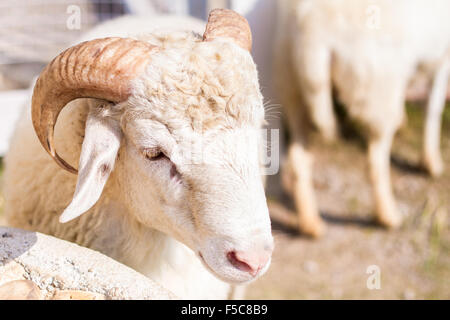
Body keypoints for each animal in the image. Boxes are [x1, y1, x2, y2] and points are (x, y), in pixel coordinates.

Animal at [276, 0, 450, 236]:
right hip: (378, 87)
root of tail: (312, 29)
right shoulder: (443, 59)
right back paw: (388, 216)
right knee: (375, 161)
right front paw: (431, 163)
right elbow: (433, 106)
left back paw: (310, 223)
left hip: (294, 89)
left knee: (298, 159)